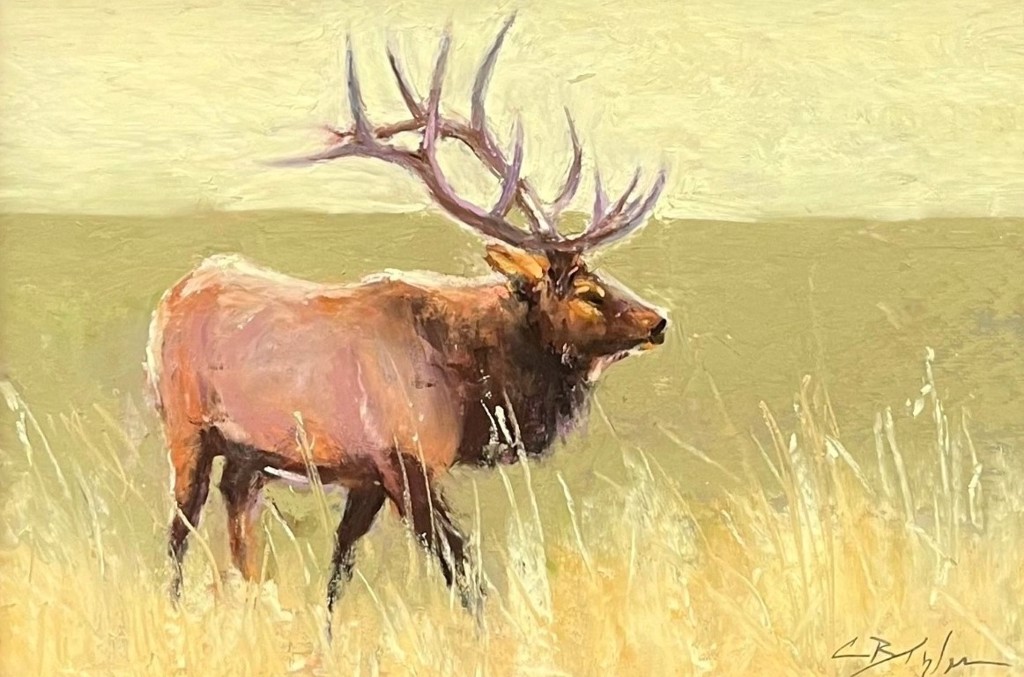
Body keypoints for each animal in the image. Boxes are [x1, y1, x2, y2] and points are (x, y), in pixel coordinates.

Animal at [145, 14, 668, 631]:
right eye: (587, 292)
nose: (658, 321)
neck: (471, 377)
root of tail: (172, 296)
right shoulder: (406, 461)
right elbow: (459, 564)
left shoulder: (366, 474)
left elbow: (340, 565)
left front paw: (326, 632)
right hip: (187, 429)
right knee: (179, 527)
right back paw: (175, 607)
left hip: (250, 454)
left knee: (238, 516)